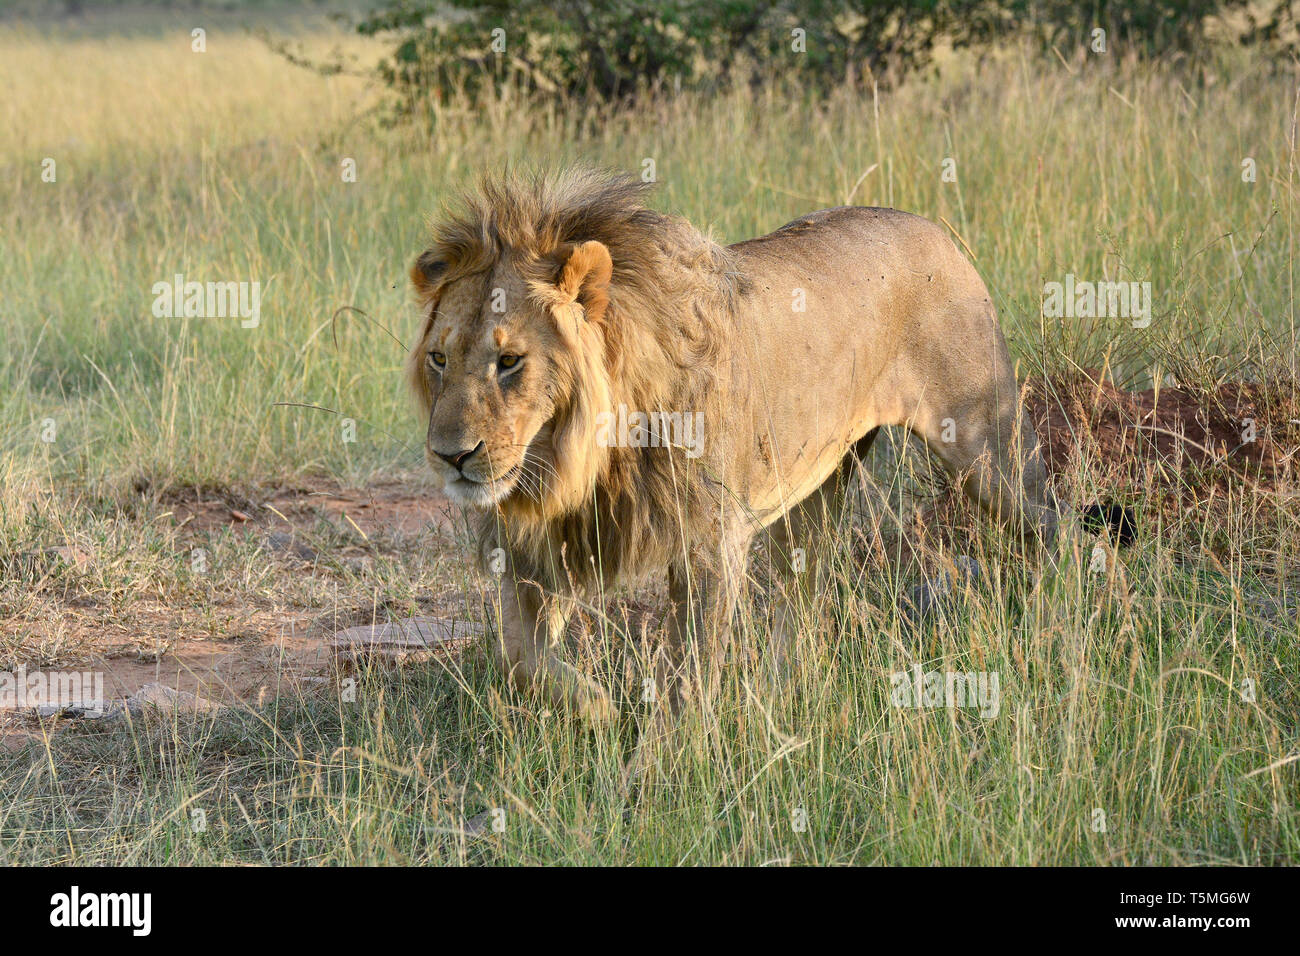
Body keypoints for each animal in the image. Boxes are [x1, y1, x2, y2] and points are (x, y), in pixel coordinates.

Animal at [405, 164, 1055, 723]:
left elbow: (686, 678)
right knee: (803, 596)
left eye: (510, 361)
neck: (577, 459)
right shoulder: (541, 546)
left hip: (981, 447)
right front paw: (598, 710)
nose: (451, 457)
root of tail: (933, 227)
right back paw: (776, 693)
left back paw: (1062, 612)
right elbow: (521, 659)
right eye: (439, 359)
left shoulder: (709, 537)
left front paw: (660, 765)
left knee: (1051, 521)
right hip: (818, 485)